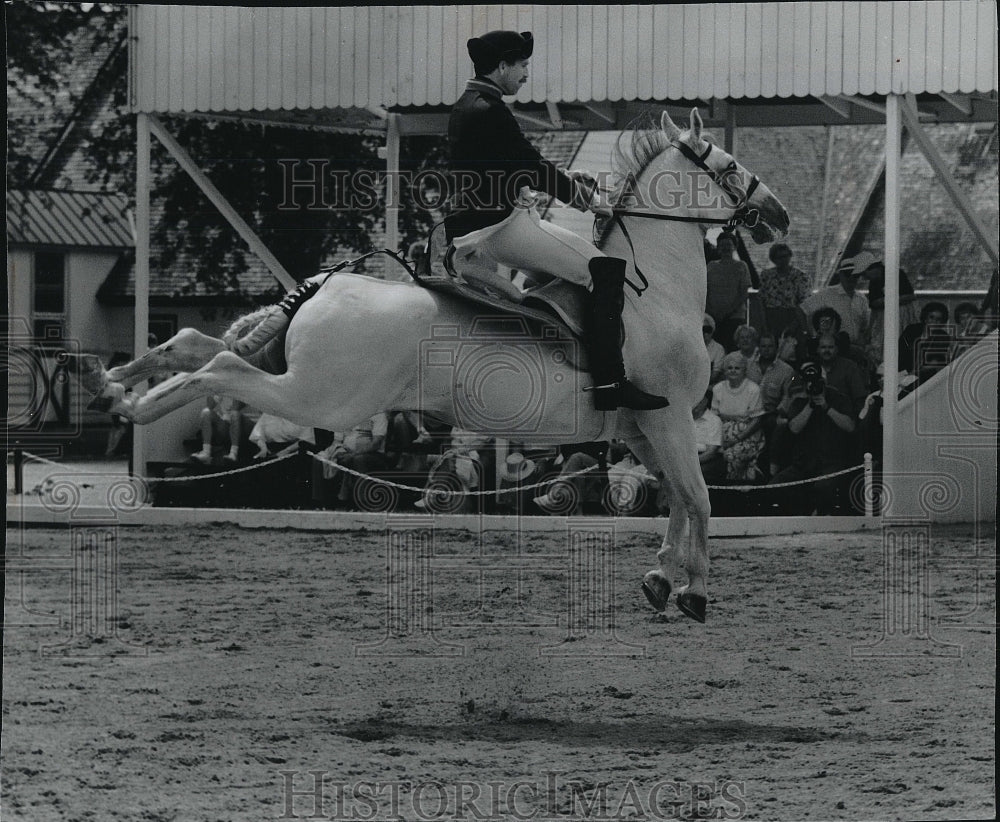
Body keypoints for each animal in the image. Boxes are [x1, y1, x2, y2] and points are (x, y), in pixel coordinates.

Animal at [78, 109, 788, 624]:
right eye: (728, 164)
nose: (777, 213)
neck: (652, 291)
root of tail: (323, 284)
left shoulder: (643, 430)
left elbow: (676, 497)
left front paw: (663, 577)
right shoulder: (666, 420)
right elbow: (697, 497)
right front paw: (694, 590)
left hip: (294, 376)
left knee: (194, 342)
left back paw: (112, 388)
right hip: (317, 396)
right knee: (220, 366)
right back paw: (128, 401)